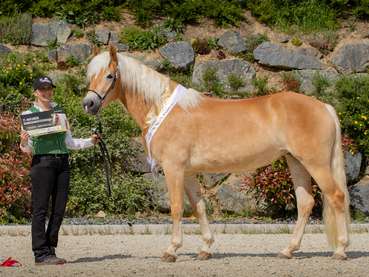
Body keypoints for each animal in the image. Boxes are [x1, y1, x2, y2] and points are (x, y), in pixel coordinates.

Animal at [82, 45, 350, 260]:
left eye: (109, 75)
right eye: (91, 76)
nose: (88, 104)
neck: (162, 110)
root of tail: (324, 106)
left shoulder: (173, 168)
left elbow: (177, 207)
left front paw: (171, 250)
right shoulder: (188, 173)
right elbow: (199, 207)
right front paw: (205, 249)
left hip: (315, 163)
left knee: (336, 197)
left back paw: (340, 250)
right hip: (296, 162)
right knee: (306, 203)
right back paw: (288, 250)